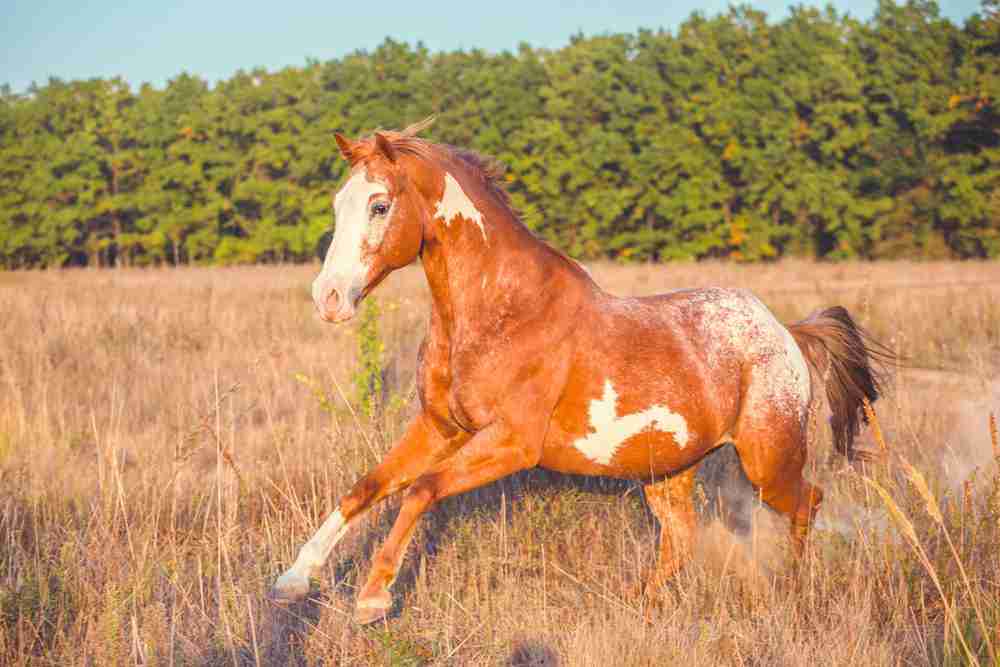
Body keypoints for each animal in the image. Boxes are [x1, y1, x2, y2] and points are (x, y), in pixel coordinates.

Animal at [268, 117, 892, 624]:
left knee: (808, 503)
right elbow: (368, 487)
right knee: (681, 542)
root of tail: (787, 333)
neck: (501, 313)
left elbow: (419, 491)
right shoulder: (441, 427)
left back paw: (793, 589)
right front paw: (293, 580)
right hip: (668, 472)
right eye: (337, 204)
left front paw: (372, 599)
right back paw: (636, 607)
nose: (328, 298)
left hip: (768, 459)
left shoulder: (510, 443)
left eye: (379, 204)